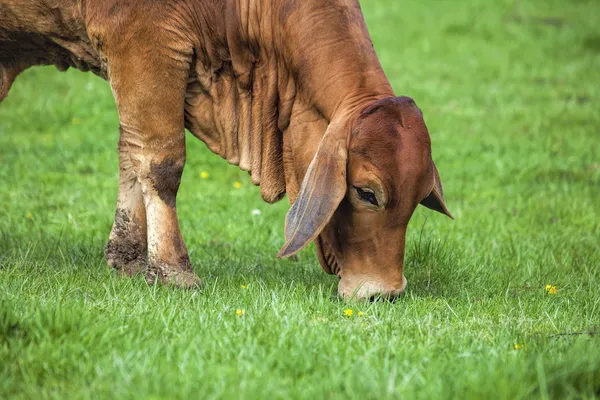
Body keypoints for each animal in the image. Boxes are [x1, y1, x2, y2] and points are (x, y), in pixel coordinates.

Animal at [0, 0, 452, 300]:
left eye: (417, 200)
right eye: (366, 193)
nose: (385, 292)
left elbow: (130, 155)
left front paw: (129, 260)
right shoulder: (143, 42)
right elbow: (160, 162)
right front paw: (174, 271)